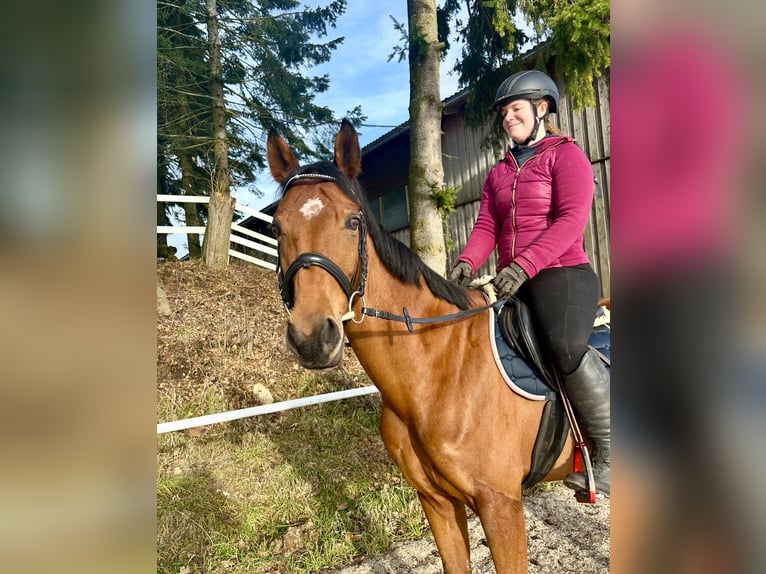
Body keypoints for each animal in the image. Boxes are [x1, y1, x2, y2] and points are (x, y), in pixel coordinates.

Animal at [266, 119, 584, 572]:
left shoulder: (501, 506)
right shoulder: (436, 501)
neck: (437, 372)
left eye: (353, 221)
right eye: (276, 228)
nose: (312, 337)